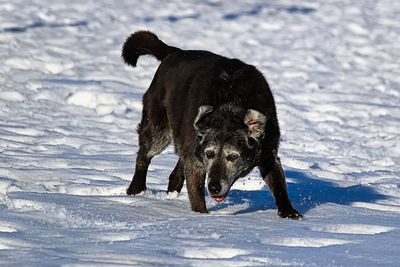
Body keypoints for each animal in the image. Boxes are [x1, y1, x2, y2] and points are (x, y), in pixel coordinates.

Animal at [122, 31, 304, 220]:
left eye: (233, 156)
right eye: (209, 154)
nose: (214, 188)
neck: (231, 104)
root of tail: (174, 52)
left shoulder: (268, 154)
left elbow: (279, 187)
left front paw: (289, 212)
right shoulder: (196, 161)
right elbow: (196, 192)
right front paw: (201, 217)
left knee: (175, 171)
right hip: (158, 132)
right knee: (143, 157)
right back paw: (136, 191)